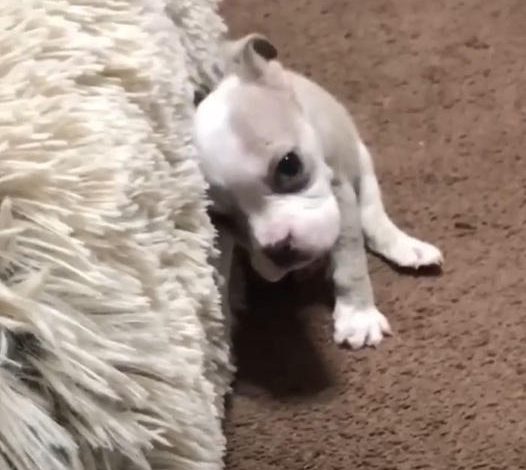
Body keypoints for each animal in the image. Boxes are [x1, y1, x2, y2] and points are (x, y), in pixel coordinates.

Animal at [192, 34, 444, 348]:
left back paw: (406, 246)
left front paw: (358, 315)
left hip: (361, 159)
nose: (278, 248)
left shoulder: (340, 194)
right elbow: (219, 277)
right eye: (221, 220)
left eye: (289, 166)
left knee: (373, 215)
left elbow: (350, 257)